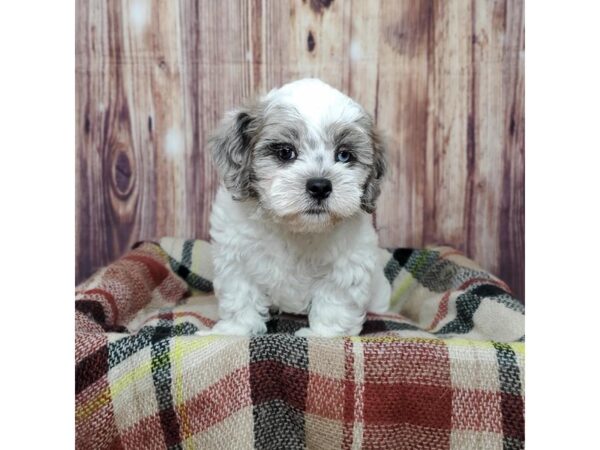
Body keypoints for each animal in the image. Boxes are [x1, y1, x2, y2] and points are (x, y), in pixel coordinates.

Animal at [202, 78, 390, 338]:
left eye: (344, 155)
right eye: (285, 152)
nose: (320, 186)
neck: (295, 229)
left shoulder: (347, 264)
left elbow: (334, 303)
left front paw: (323, 336)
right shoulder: (236, 259)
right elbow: (241, 296)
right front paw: (234, 330)